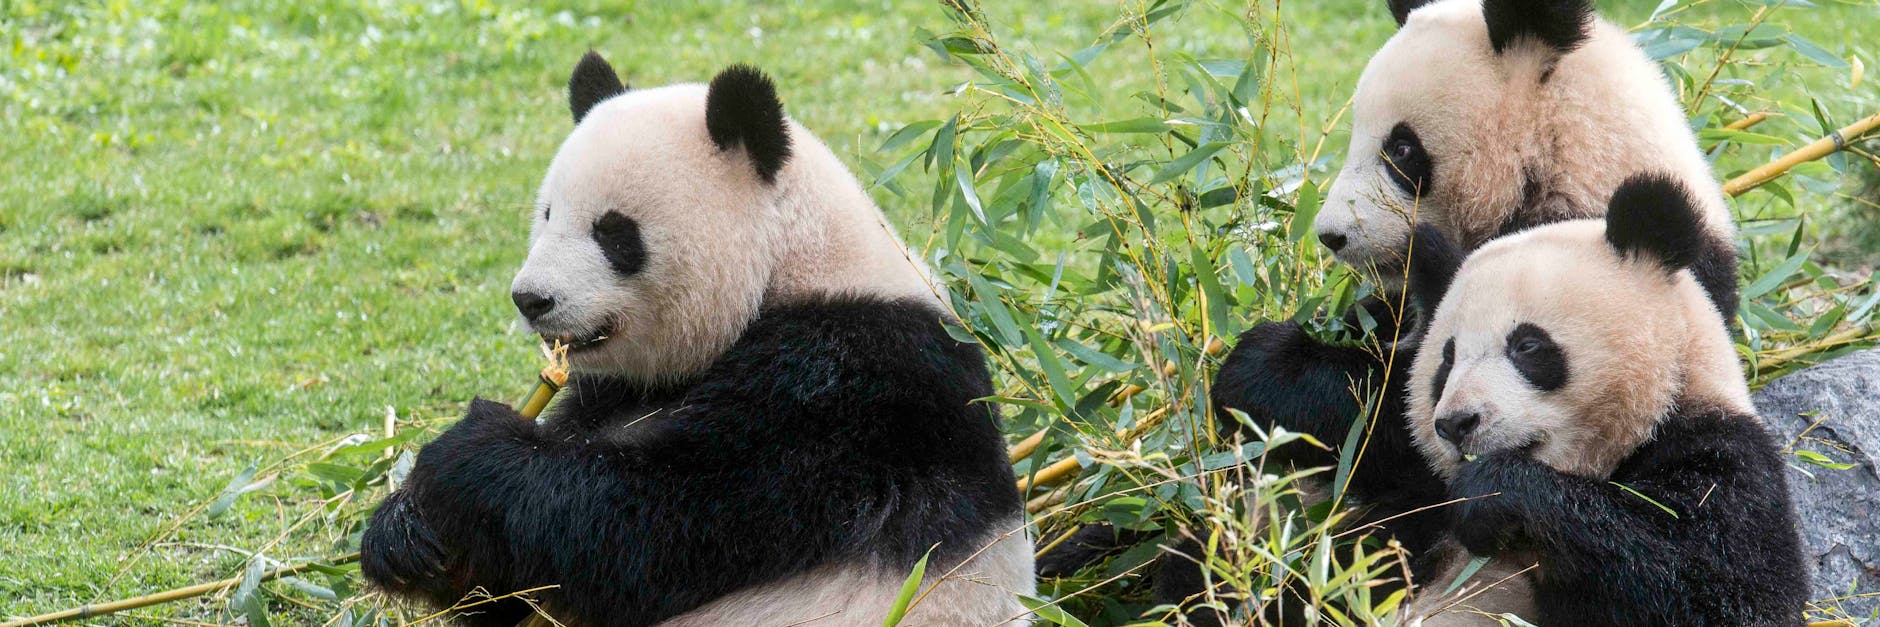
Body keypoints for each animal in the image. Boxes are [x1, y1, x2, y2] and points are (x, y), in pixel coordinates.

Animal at [359, 52, 1035, 626]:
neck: (793, 266)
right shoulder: (614, 392)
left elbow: (653, 523)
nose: (531, 299)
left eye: (614, 231)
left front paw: (469, 453)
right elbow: (516, 582)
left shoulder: (853, 390)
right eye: (547, 214)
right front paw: (406, 533)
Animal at [1396, 174, 1807, 626]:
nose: (1456, 423)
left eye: (1527, 346)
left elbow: (1709, 582)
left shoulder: (1722, 454)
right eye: (1447, 359)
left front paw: (1488, 494)